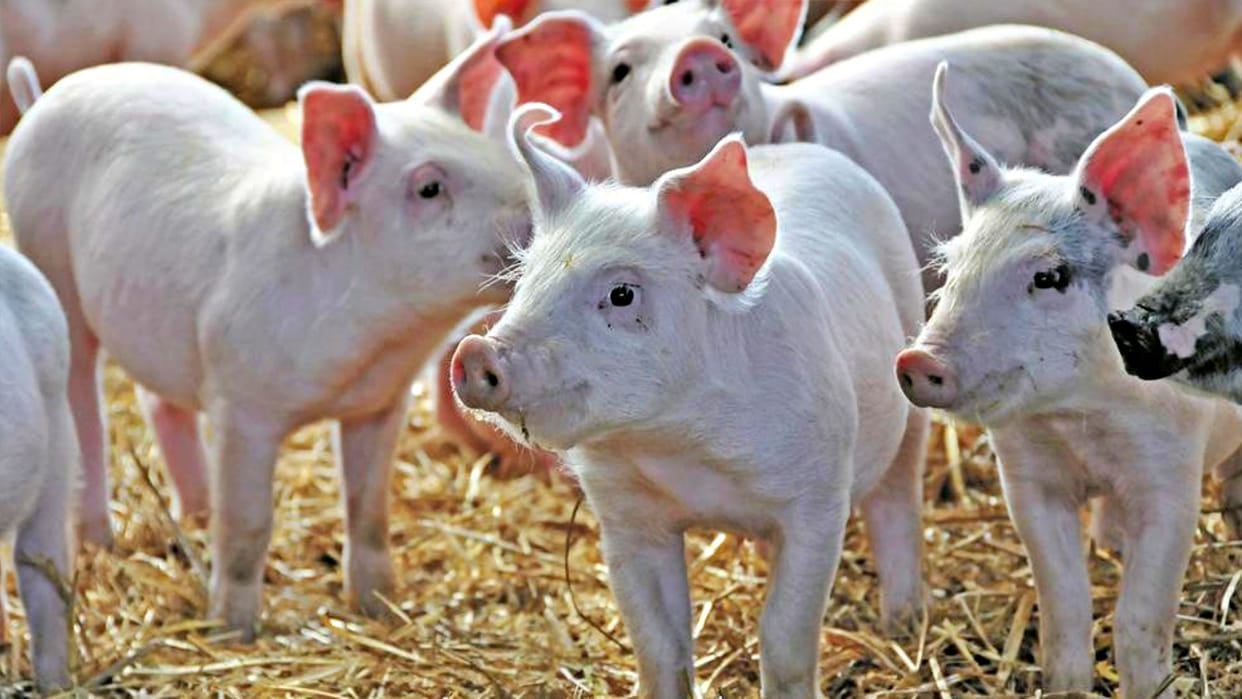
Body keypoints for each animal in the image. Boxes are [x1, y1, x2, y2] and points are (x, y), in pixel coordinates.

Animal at [2, 22, 529, 636]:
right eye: (428, 188)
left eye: (493, 156)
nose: (535, 218)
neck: (374, 345)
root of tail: (44, 96)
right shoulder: (242, 405)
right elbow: (249, 525)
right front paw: (232, 629)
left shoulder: (379, 404)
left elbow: (369, 511)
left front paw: (380, 607)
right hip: (49, 258)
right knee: (86, 408)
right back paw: (102, 541)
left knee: (160, 402)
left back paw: (197, 513)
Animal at [452, 104, 930, 698]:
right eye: (525, 280)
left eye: (622, 294)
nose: (475, 353)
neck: (681, 444)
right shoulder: (626, 517)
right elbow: (658, 641)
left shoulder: (819, 500)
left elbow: (783, 634)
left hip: (908, 375)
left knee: (898, 498)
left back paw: (904, 623)